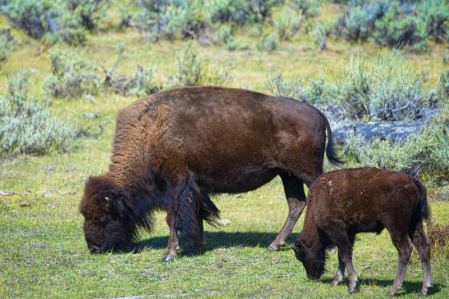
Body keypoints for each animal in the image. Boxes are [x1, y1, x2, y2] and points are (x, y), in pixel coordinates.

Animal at [79, 86, 342, 262]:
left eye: (103, 218)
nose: (94, 248)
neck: (149, 132)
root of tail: (318, 113)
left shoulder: (176, 181)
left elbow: (173, 217)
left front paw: (170, 253)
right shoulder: (192, 186)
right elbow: (196, 215)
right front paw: (196, 246)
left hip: (306, 172)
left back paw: (328, 247)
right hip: (288, 174)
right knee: (296, 204)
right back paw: (274, 245)